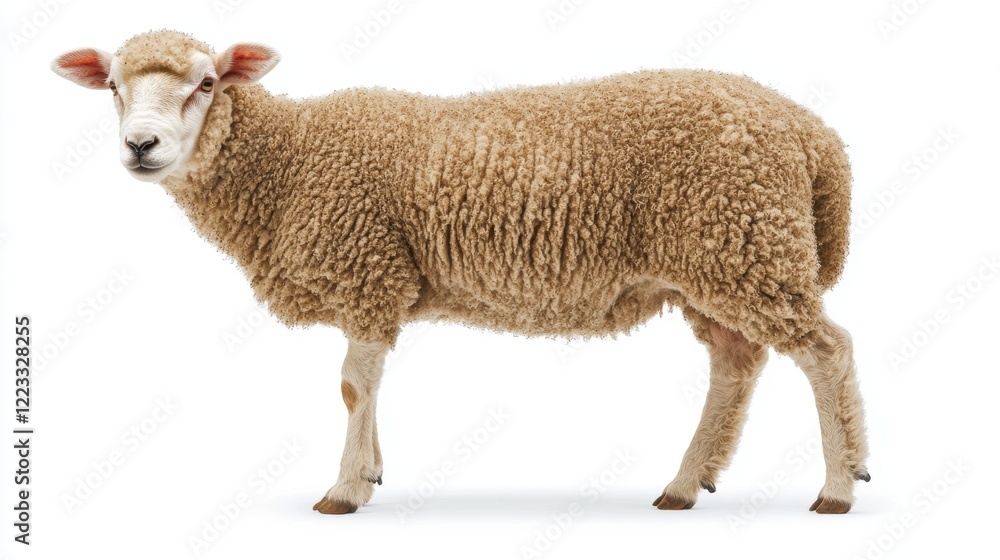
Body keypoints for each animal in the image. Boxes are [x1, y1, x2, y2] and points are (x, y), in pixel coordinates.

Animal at [52, 30, 870, 515]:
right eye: (114, 88)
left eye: (206, 84)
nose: (141, 146)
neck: (288, 162)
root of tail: (813, 134)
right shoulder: (382, 283)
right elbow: (368, 384)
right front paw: (372, 471)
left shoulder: (368, 267)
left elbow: (352, 386)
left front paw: (343, 489)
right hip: (719, 263)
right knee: (737, 362)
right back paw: (684, 482)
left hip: (745, 243)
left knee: (826, 352)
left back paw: (837, 486)